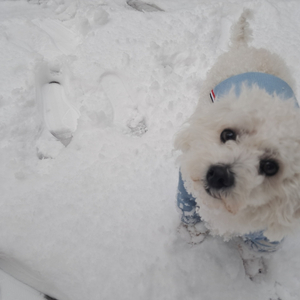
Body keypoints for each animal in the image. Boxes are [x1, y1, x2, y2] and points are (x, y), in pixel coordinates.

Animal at [176, 8, 300, 272]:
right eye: (228, 134)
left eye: (270, 166)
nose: (218, 174)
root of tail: (247, 47)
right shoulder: (187, 194)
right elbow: (189, 215)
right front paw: (193, 234)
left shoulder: (265, 237)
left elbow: (253, 251)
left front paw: (254, 269)